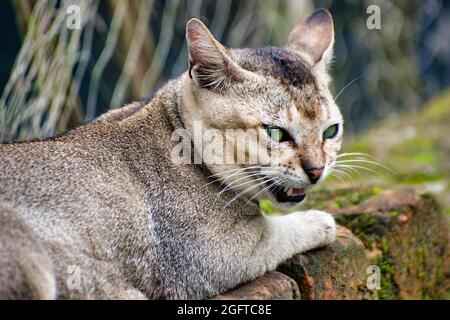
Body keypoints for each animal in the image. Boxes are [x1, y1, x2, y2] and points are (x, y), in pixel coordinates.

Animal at [0, 9, 342, 300]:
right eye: (276, 133)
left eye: (331, 131)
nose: (317, 170)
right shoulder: (214, 255)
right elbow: (280, 231)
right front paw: (320, 222)